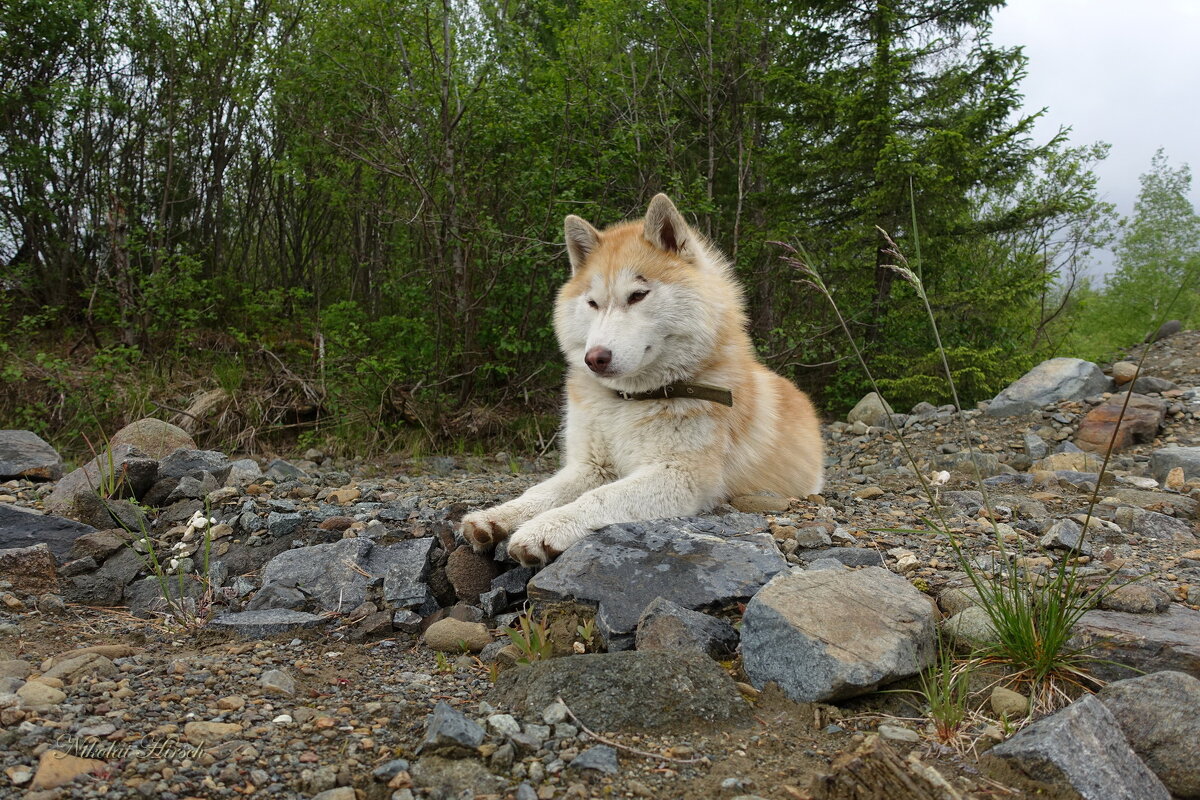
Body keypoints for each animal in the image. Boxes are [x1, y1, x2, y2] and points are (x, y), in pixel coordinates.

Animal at [460, 194, 825, 566]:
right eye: (592, 303)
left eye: (637, 295)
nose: (594, 358)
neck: (629, 401)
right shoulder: (589, 466)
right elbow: (540, 491)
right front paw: (499, 514)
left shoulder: (679, 476)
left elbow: (598, 498)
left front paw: (543, 529)